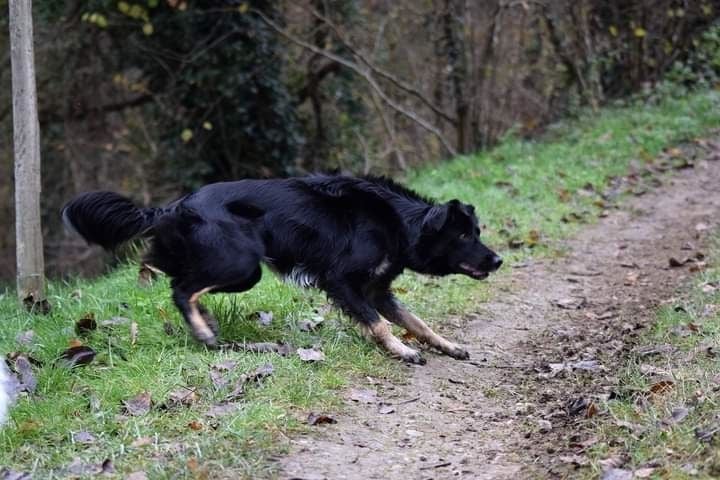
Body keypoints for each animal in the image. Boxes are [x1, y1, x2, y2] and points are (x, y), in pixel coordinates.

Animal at [62, 176, 500, 364]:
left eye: (477, 231)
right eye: (464, 235)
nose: (498, 260)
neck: (398, 222)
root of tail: (176, 206)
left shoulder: (377, 289)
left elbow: (417, 322)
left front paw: (446, 346)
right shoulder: (342, 281)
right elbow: (379, 325)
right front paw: (402, 351)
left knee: (177, 278)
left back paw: (202, 321)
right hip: (242, 266)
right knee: (181, 287)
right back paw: (203, 331)